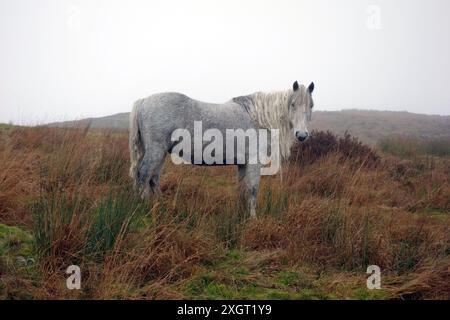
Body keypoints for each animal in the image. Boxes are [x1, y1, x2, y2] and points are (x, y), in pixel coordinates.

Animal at [128, 81, 314, 219]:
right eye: (292, 104)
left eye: (311, 105)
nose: (302, 135)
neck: (258, 118)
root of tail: (143, 101)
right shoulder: (254, 163)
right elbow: (252, 189)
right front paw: (253, 218)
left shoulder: (242, 164)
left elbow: (243, 189)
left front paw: (241, 214)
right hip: (156, 151)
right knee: (144, 174)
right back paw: (144, 206)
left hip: (160, 153)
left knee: (153, 178)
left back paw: (160, 206)